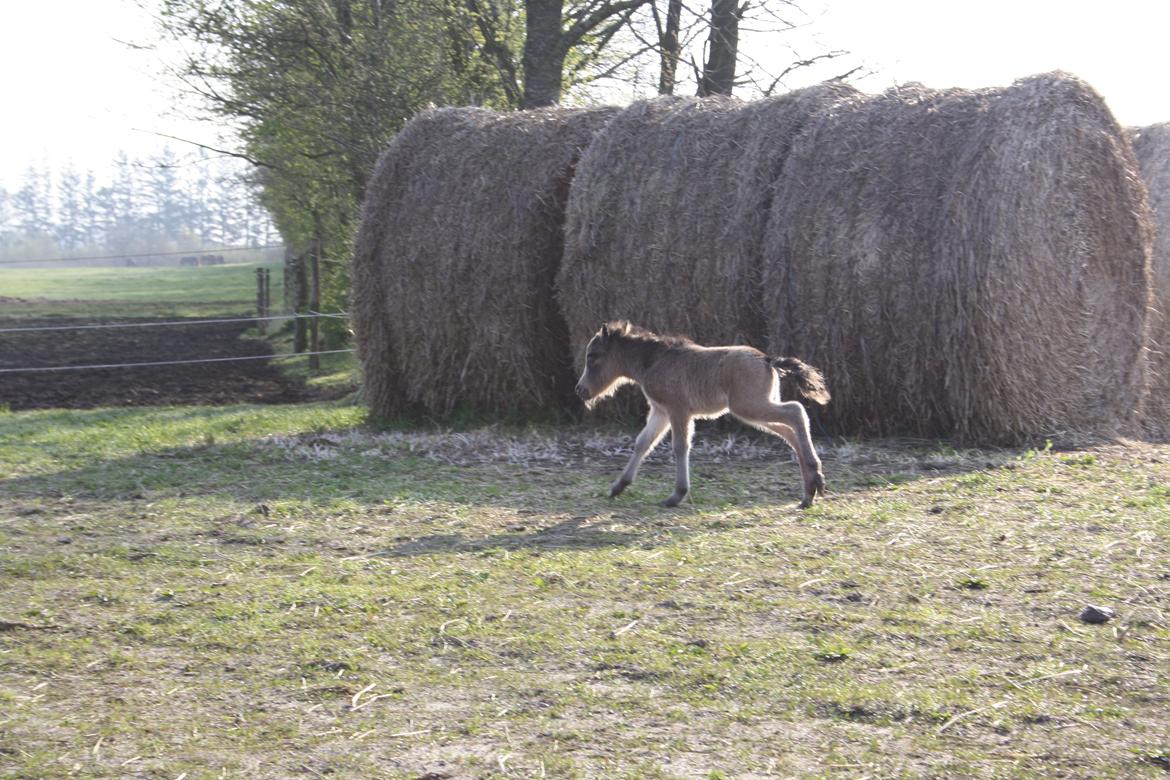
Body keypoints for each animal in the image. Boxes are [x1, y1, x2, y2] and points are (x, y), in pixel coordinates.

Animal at [575, 320, 833, 509]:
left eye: (592, 356)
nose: (580, 390)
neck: (654, 360)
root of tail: (767, 359)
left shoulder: (677, 410)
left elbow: (680, 447)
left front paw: (677, 495)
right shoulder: (660, 411)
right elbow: (643, 443)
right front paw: (618, 486)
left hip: (749, 406)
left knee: (796, 412)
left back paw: (815, 479)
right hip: (754, 409)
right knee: (790, 430)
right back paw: (809, 491)